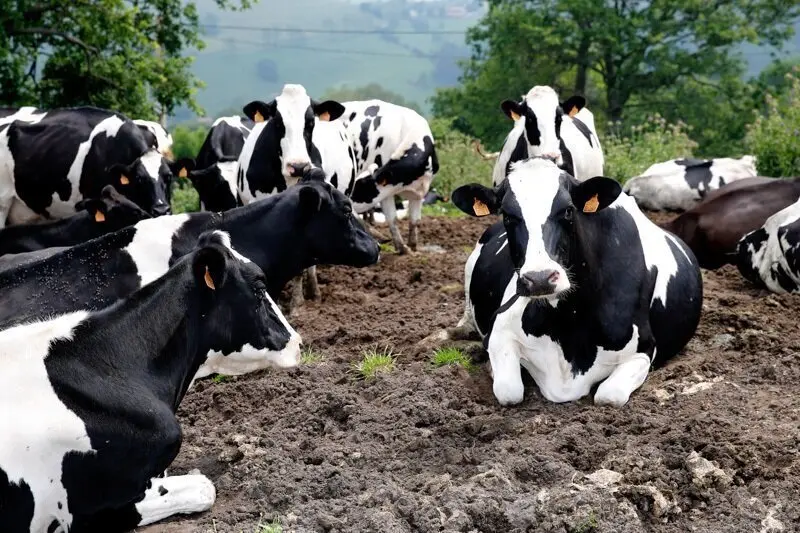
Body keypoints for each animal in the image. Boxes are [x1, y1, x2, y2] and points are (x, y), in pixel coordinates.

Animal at [342, 99, 439, 254]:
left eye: (360, 188)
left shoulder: (419, 192)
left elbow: (414, 221)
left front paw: (413, 247)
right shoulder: (386, 192)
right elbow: (392, 219)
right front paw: (403, 248)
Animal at [449, 157, 702, 407]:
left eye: (568, 211)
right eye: (508, 215)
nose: (539, 278)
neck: (568, 320)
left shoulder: (643, 349)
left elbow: (609, 396)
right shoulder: (500, 332)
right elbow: (509, 391)